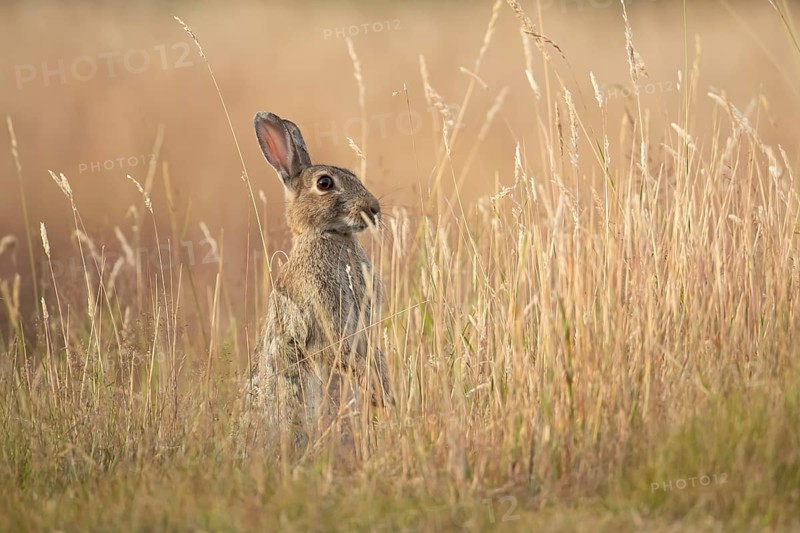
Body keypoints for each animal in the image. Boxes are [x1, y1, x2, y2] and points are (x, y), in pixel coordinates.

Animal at [249, 111, 392, 448]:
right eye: (325, 183)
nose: (374, 209)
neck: (328, 235)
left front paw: (383, 391)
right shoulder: (327, 316)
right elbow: (338, 351)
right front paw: (376, 391)